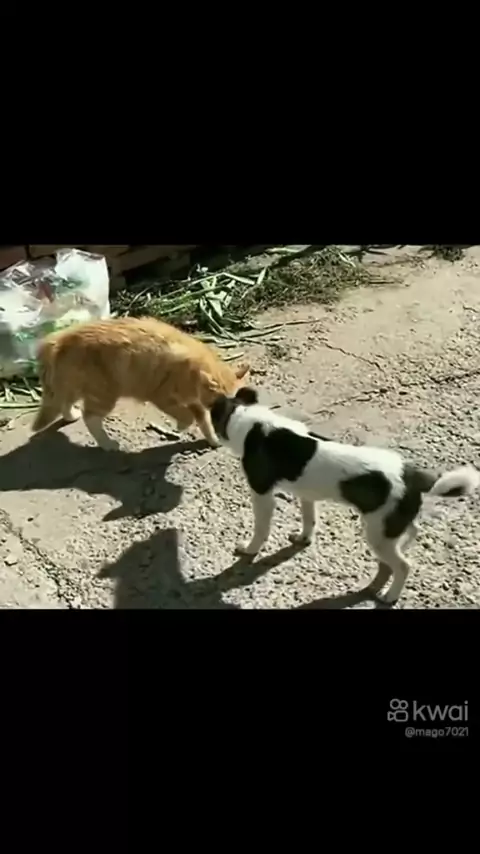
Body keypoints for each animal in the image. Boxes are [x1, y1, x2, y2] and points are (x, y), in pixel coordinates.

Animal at [31, 316, 250, 450]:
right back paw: (107, 444)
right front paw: (181, 426)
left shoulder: (195, 403)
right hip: (104, 393)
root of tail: (59, 339)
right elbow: (186, 416)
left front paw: (213, 439)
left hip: (74, 385)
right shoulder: (162, 397)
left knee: (64, 401)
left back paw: (70, 416)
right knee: (90, 417)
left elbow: (203, 421)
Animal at [210, 387, 480, 605]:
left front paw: (249, 549)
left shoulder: (262, 493)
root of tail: (413, 477)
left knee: (403, 566)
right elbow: (309, 520)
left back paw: (390, 595)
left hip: (378, 535)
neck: (251, 421)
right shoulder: (306, 494)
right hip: (389, 526)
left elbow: (261, 529)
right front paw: (303, 538)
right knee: (408, 536)